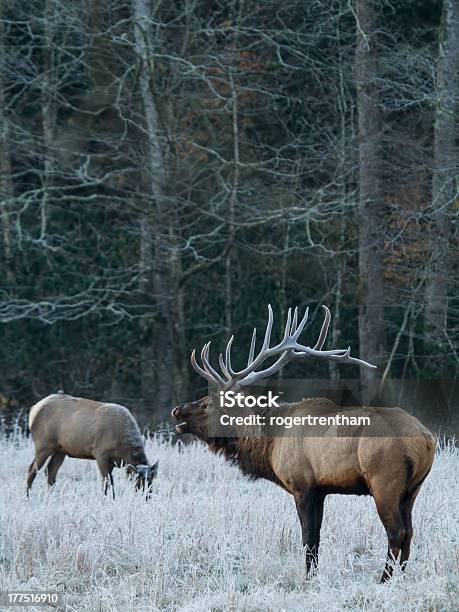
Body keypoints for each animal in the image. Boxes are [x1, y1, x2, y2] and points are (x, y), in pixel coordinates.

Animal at [27, 392, 160, 498]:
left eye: (151, 481)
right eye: (138, 481)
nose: (147, 496)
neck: (124, 452)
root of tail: (33, 410)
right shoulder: (100, 453)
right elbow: (107, 481)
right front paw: (107, 499)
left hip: (60, 450)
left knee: (50, 471)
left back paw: (52, 497)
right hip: (43, 444)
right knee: (32, 469)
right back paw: (27, 497)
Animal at [171, 306, 436, 584]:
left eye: (207, 404)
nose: (177, 410)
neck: (269, 442)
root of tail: (427, 438)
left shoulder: (302, 485)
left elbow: (308, 539)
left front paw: (307, 579)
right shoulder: (321, 490)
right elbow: (316, 538)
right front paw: (314, 576)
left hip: (384, 480)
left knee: (397, 532)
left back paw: (383, 579)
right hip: (413, 488)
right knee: (410, 532)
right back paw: (401, 578)